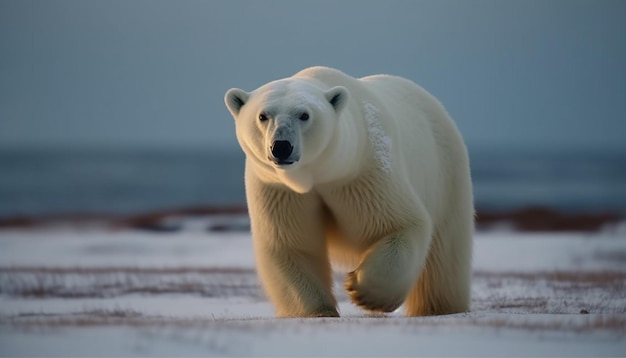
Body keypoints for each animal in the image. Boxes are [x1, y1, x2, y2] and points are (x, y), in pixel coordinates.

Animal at [222, 65, 470, 318]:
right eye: (263, 116)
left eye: (304, 115)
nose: (281, 146)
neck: (319, 174)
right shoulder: (279, 189)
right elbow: (292, 245)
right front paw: (318, 311)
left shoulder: (363, 173)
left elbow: (399, 223)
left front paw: (363, 291)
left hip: (446, 175)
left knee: (444, 257)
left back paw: (439, 307)